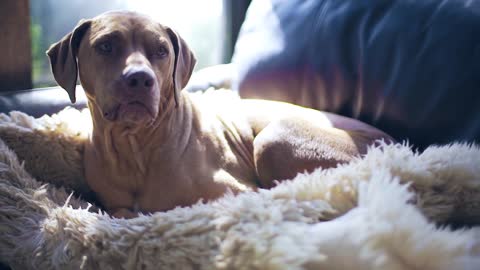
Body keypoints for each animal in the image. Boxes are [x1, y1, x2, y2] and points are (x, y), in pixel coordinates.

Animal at [46, 11, 394, 217]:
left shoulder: (235, 192)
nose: (140, 79)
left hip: (275, 137)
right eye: (105, 46)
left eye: (161, 50)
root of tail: (393, 143)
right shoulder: (116, 206)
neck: (136, 147)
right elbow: (122, 211)